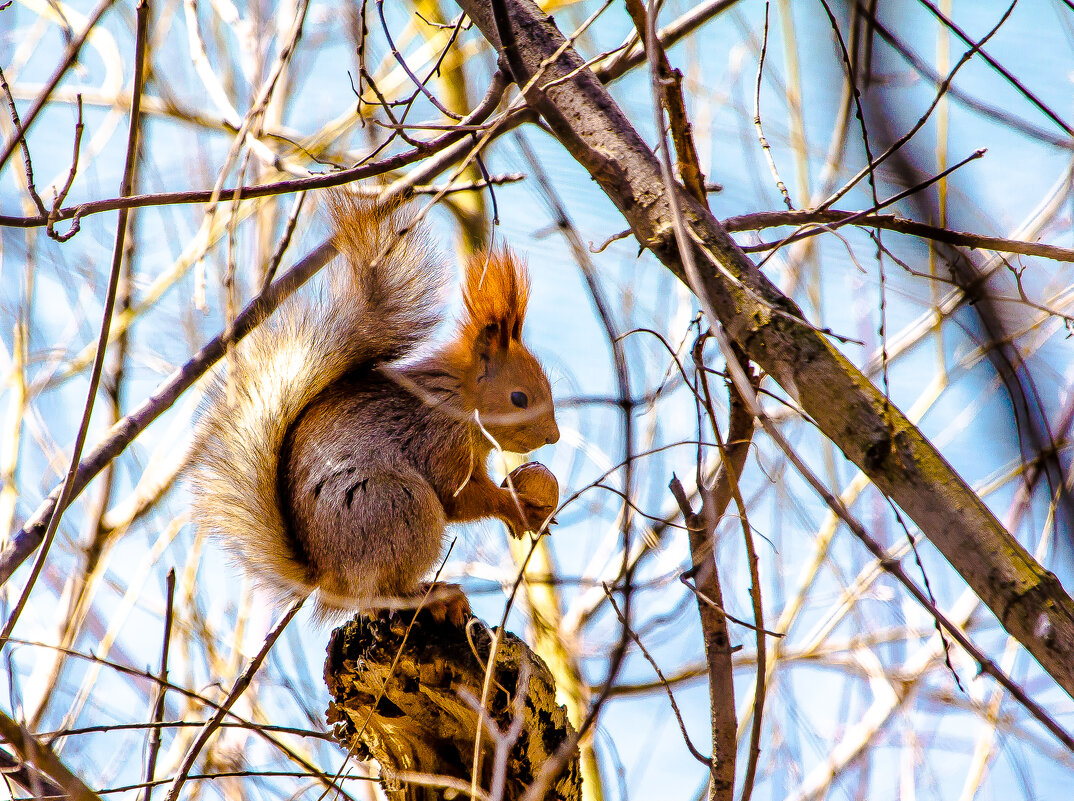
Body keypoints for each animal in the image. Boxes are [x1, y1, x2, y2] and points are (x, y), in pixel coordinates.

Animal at [190, 190, 562, 622]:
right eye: (519, 399)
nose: (553, 437)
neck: (456, 398)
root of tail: (330, 580)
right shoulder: (437, 440)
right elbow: (459, 497)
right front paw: (517, 509)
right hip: (401, 507)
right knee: (382, 592)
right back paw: (435, 596)